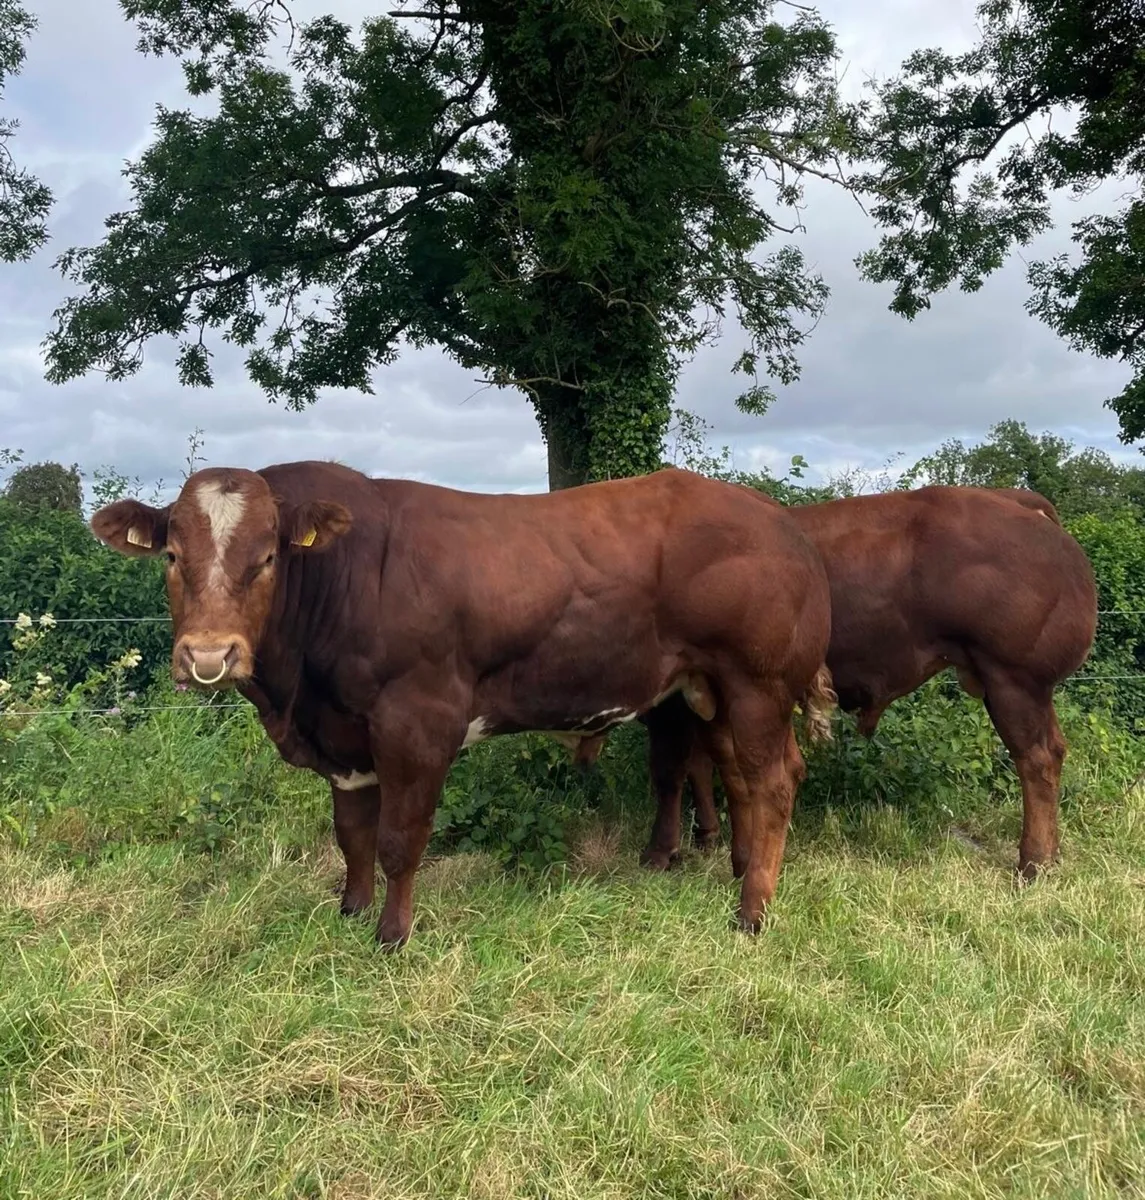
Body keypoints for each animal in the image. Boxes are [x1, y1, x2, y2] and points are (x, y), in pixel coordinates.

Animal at [90, 461, 834, 948]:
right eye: (171, 556)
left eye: (269, 556)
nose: (209, 655)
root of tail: (780, 521)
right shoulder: (345, 739)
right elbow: (352, 835)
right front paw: (350, 910)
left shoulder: (417, 722)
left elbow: (399, 839)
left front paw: (392, 934)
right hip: (708, 689)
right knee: (737, 775)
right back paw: (736, 872)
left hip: (758, 683)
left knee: (773, 781)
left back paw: (751, 911)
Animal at [583, 485, 1097, 880]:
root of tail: (1014, 498)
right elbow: (699, 766)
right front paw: (705, 835)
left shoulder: (670, 702)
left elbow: (670, 771)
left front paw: (659, 852)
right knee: (1051, 751)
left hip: (1014, 679)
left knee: (1036, 760)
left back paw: (1032, 863)